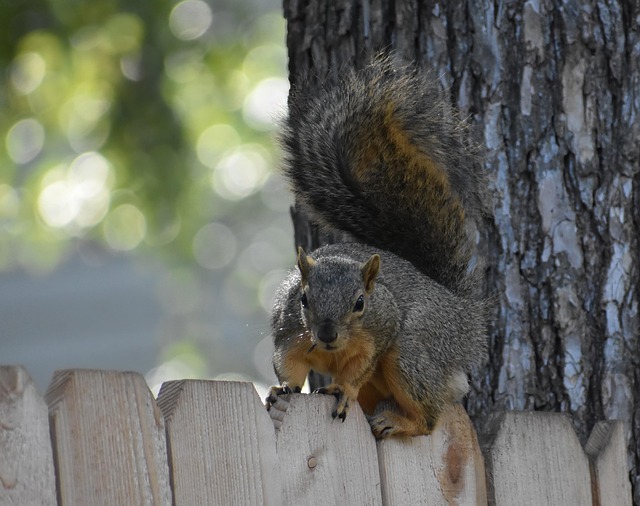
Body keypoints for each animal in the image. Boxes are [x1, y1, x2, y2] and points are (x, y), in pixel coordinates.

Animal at [266, 55, 490, 439]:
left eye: (360, 303)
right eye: (304, 299)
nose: (326, 333)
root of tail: (463, 314)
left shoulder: (380, 327)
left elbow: (360, 368)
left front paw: (343, 389)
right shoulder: (289, 331)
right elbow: (288, 364)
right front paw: (282, 388)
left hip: (412, 352)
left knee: (429, 419)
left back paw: (397, 421)